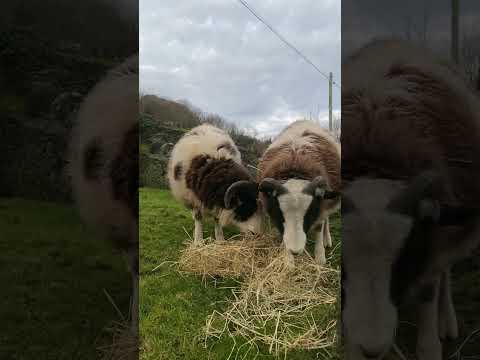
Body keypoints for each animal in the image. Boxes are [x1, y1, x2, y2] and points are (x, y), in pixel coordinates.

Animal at [256, 120, 340, 264]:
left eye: (310, 211)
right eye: (279, 213)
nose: (295, 251)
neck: (295, 164)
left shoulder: (321, 206)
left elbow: (319, 226)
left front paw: (320, 258)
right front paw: (288, 261)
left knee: (326, 220)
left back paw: (327, 239)